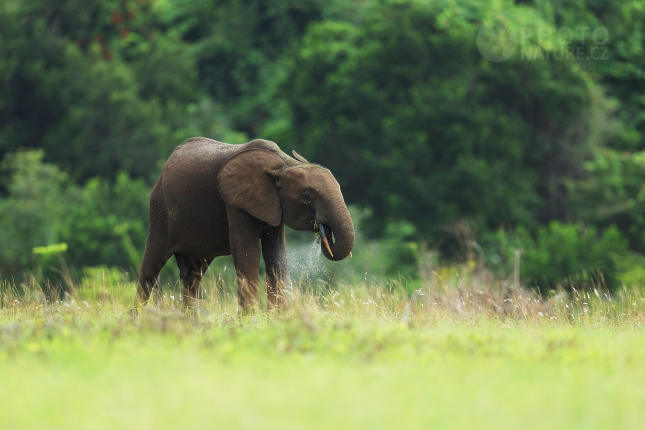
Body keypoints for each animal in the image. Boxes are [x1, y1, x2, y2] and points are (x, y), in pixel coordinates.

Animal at [133, 138, 354, 312]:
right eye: (308, 196)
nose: (323, 232)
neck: (284, 164)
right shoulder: (235, 201)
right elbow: (248, 252)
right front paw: (250, 319)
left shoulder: (274, 206)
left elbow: (276, 254)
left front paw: (278, 318)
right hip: (160, 208)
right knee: (151, 268)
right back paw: (137, 318)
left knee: (194, 275)